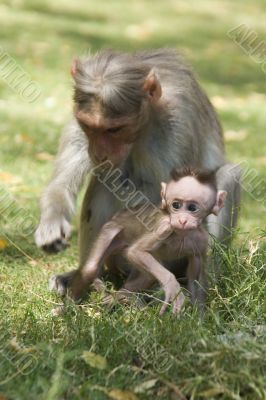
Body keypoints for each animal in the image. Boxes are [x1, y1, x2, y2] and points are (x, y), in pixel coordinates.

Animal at [68, 167, 227, 314]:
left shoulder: (202, 242)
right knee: (91, 269)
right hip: (111, 229)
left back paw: (119, 298)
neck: (183, 235)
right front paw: (172, 286)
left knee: (147, 277)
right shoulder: (164, 227)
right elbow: (136, 251)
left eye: (192, 208)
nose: (182, 220)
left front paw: (200, 317)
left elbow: (195, 279)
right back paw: (69, 307)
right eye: (176, 205)